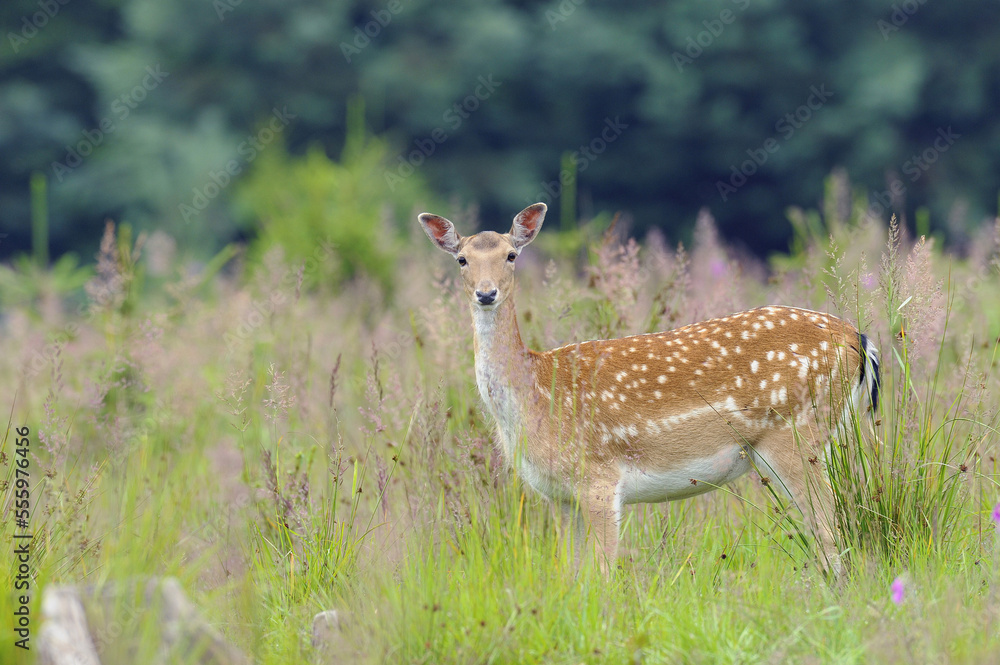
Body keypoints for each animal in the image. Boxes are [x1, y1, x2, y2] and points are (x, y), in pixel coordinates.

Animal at [418, 202, 881, 577]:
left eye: (511, 255)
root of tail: (859, 339)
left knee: (831, 533)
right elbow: (570, 576)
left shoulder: (599, 477)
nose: (486, 293)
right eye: (461, 259)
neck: (534, 394)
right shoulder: (558, 496)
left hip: (798, 432)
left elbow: (602, 575)